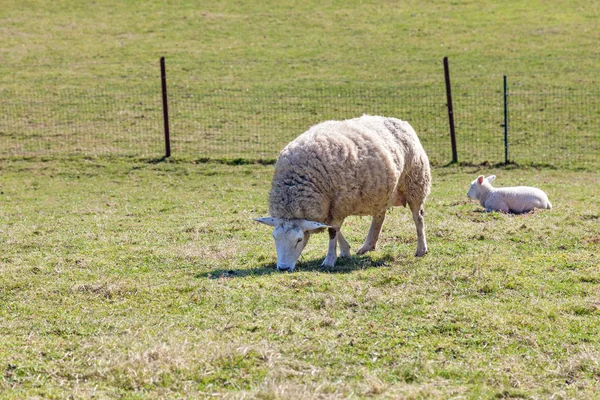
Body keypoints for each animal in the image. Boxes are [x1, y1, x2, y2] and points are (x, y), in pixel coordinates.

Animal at [253, 115, 432, 272]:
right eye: (274, 237)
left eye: (299, 239)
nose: (283, 268)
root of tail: (400, 121)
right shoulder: (329, 206)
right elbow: (333, 228)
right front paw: (345, 250)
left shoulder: (338, 203)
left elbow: (332, 231)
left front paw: (329, 260)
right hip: (382, 191)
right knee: (379, 216)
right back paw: (368, 246)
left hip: (415, 183)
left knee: (418, 217)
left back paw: (421, 249)